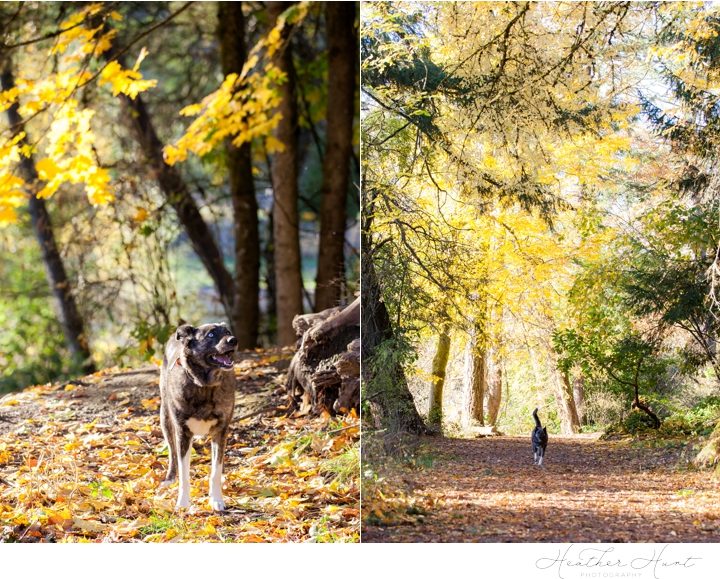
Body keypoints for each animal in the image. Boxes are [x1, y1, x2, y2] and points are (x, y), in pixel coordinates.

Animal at [159, 324, 238, 510]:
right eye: (210, 334)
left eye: (228, 332)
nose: (234, 340)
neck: (205, 386)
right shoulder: (183, 433)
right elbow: (184, 475)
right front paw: (182, 503)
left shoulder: (220, 433)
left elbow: (215, 471)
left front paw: (216, 500)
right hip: (165, 419)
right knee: (172, 453)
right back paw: (169, 478)